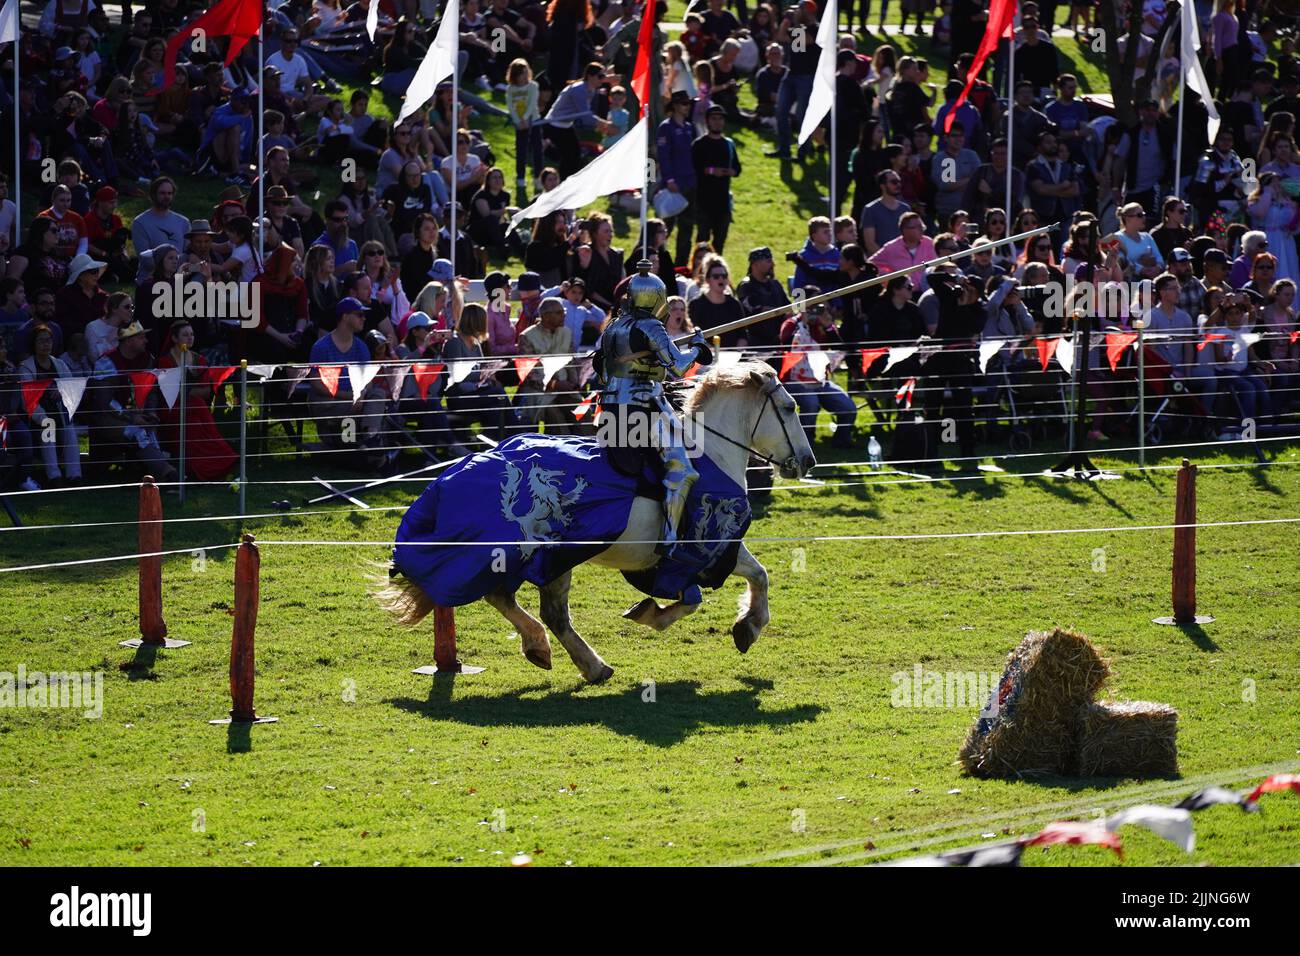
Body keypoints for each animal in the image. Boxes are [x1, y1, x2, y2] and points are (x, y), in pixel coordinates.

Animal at [379, 361, 816, 686]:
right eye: (791, 408)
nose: (808, 461)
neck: (713, 454)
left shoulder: (711, 553)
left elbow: (748, 578)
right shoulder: (708, 550)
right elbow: (729, 586)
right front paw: (743, 626)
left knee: (521, 604)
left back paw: (571, 659)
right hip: (544, 556)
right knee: (527, 605)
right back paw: (572, 657)